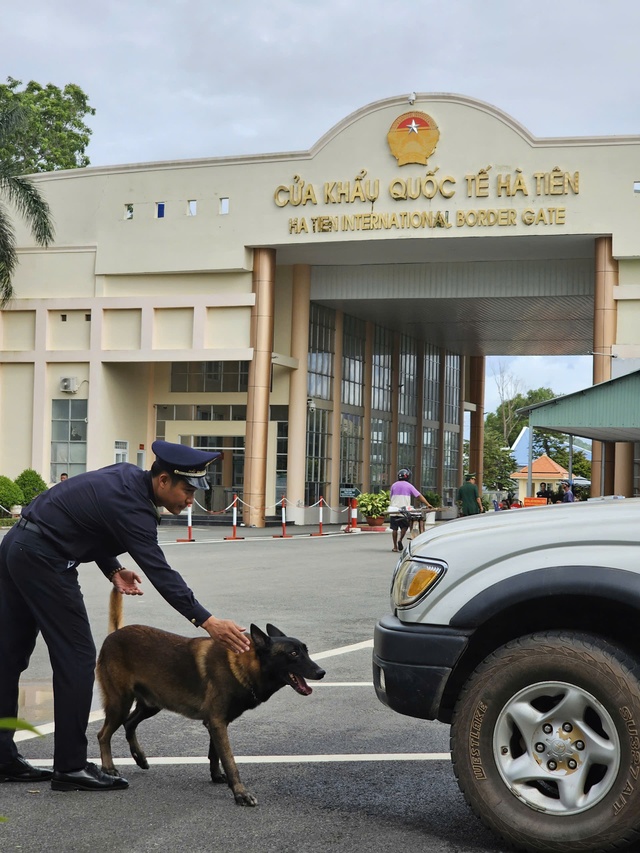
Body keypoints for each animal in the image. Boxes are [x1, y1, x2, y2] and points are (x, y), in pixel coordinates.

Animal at [96, 588, 324, 804]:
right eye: (293, 654)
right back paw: (108, 769)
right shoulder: (217, 722)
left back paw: (139, 757)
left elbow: (215, 753)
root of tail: (115, 634)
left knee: (129, 723)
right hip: (120, 703)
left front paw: (216, 776)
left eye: (306, 650)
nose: (321, 672)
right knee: (103, 735)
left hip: (151, 705)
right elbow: (229, 760)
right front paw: (240, 793)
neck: (244, 666)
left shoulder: (217, 723)